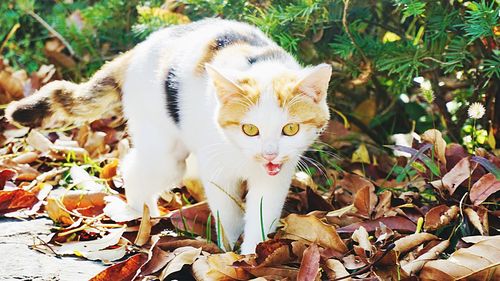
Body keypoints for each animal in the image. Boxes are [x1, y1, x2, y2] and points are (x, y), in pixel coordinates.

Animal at [5, 18, 332, 254]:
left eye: (290, 129)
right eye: (249, 129)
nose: (269, 153)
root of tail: (137, 49)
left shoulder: (276, 174)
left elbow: (262, 212)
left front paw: (253, 255)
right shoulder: (217, 167)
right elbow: (226, 212)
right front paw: (229, 253)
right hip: (165, 149)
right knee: (134, 167)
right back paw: (140, 214)